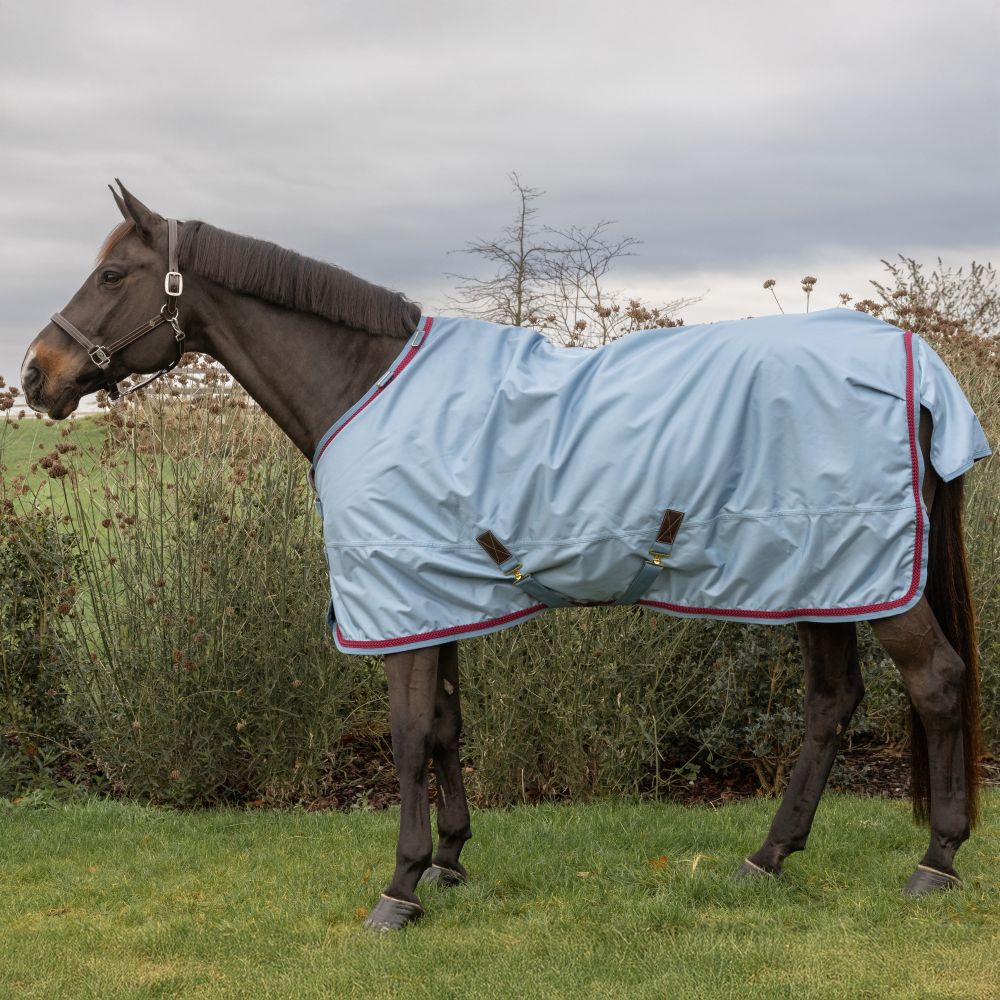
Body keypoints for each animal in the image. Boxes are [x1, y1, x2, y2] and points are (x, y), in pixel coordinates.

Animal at [21, 183, 989, 931]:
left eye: (113, 274)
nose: (36, 374)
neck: (365, 384)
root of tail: (915, 359)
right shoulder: (430, 596)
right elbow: (448, 726)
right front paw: (449, 862)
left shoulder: (398, 600)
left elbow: (409, 736)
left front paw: (400, 888)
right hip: (816, 576)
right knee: (831, 704)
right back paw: (768, 857)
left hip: (862, 575)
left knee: (937, 683)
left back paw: (935, 861)